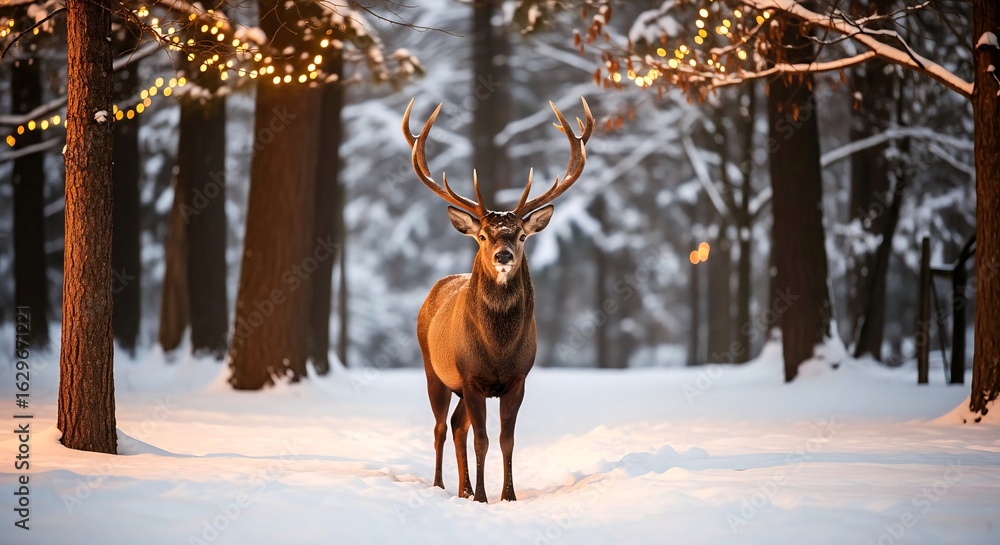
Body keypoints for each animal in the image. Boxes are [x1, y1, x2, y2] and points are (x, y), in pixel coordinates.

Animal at [402, 97, 594, 503]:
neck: (498, 349)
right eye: (483, 236)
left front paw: (507, 496)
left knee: (456, 425)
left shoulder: (518, 379)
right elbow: (482, 440)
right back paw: (442, 485)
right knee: (441, 427)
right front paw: (483, 497)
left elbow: (506, 440)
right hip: (433, 369)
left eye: (521, 235)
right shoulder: (471, 376)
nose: (503, 255)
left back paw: (462, 489)